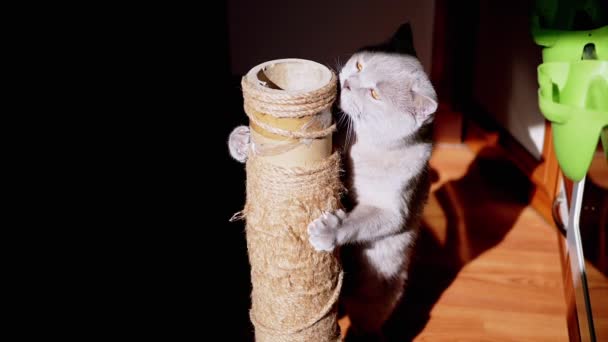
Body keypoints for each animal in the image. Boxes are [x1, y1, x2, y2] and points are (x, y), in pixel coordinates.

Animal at [228, 23, 436, 340]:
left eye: (375, 94)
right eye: (360, 65)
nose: (348, 82)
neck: (361, 146)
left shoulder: (393, 208)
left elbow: (359, 220)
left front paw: (327, 231)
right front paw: (242, 139)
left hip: (379, 289)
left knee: (368, 318)